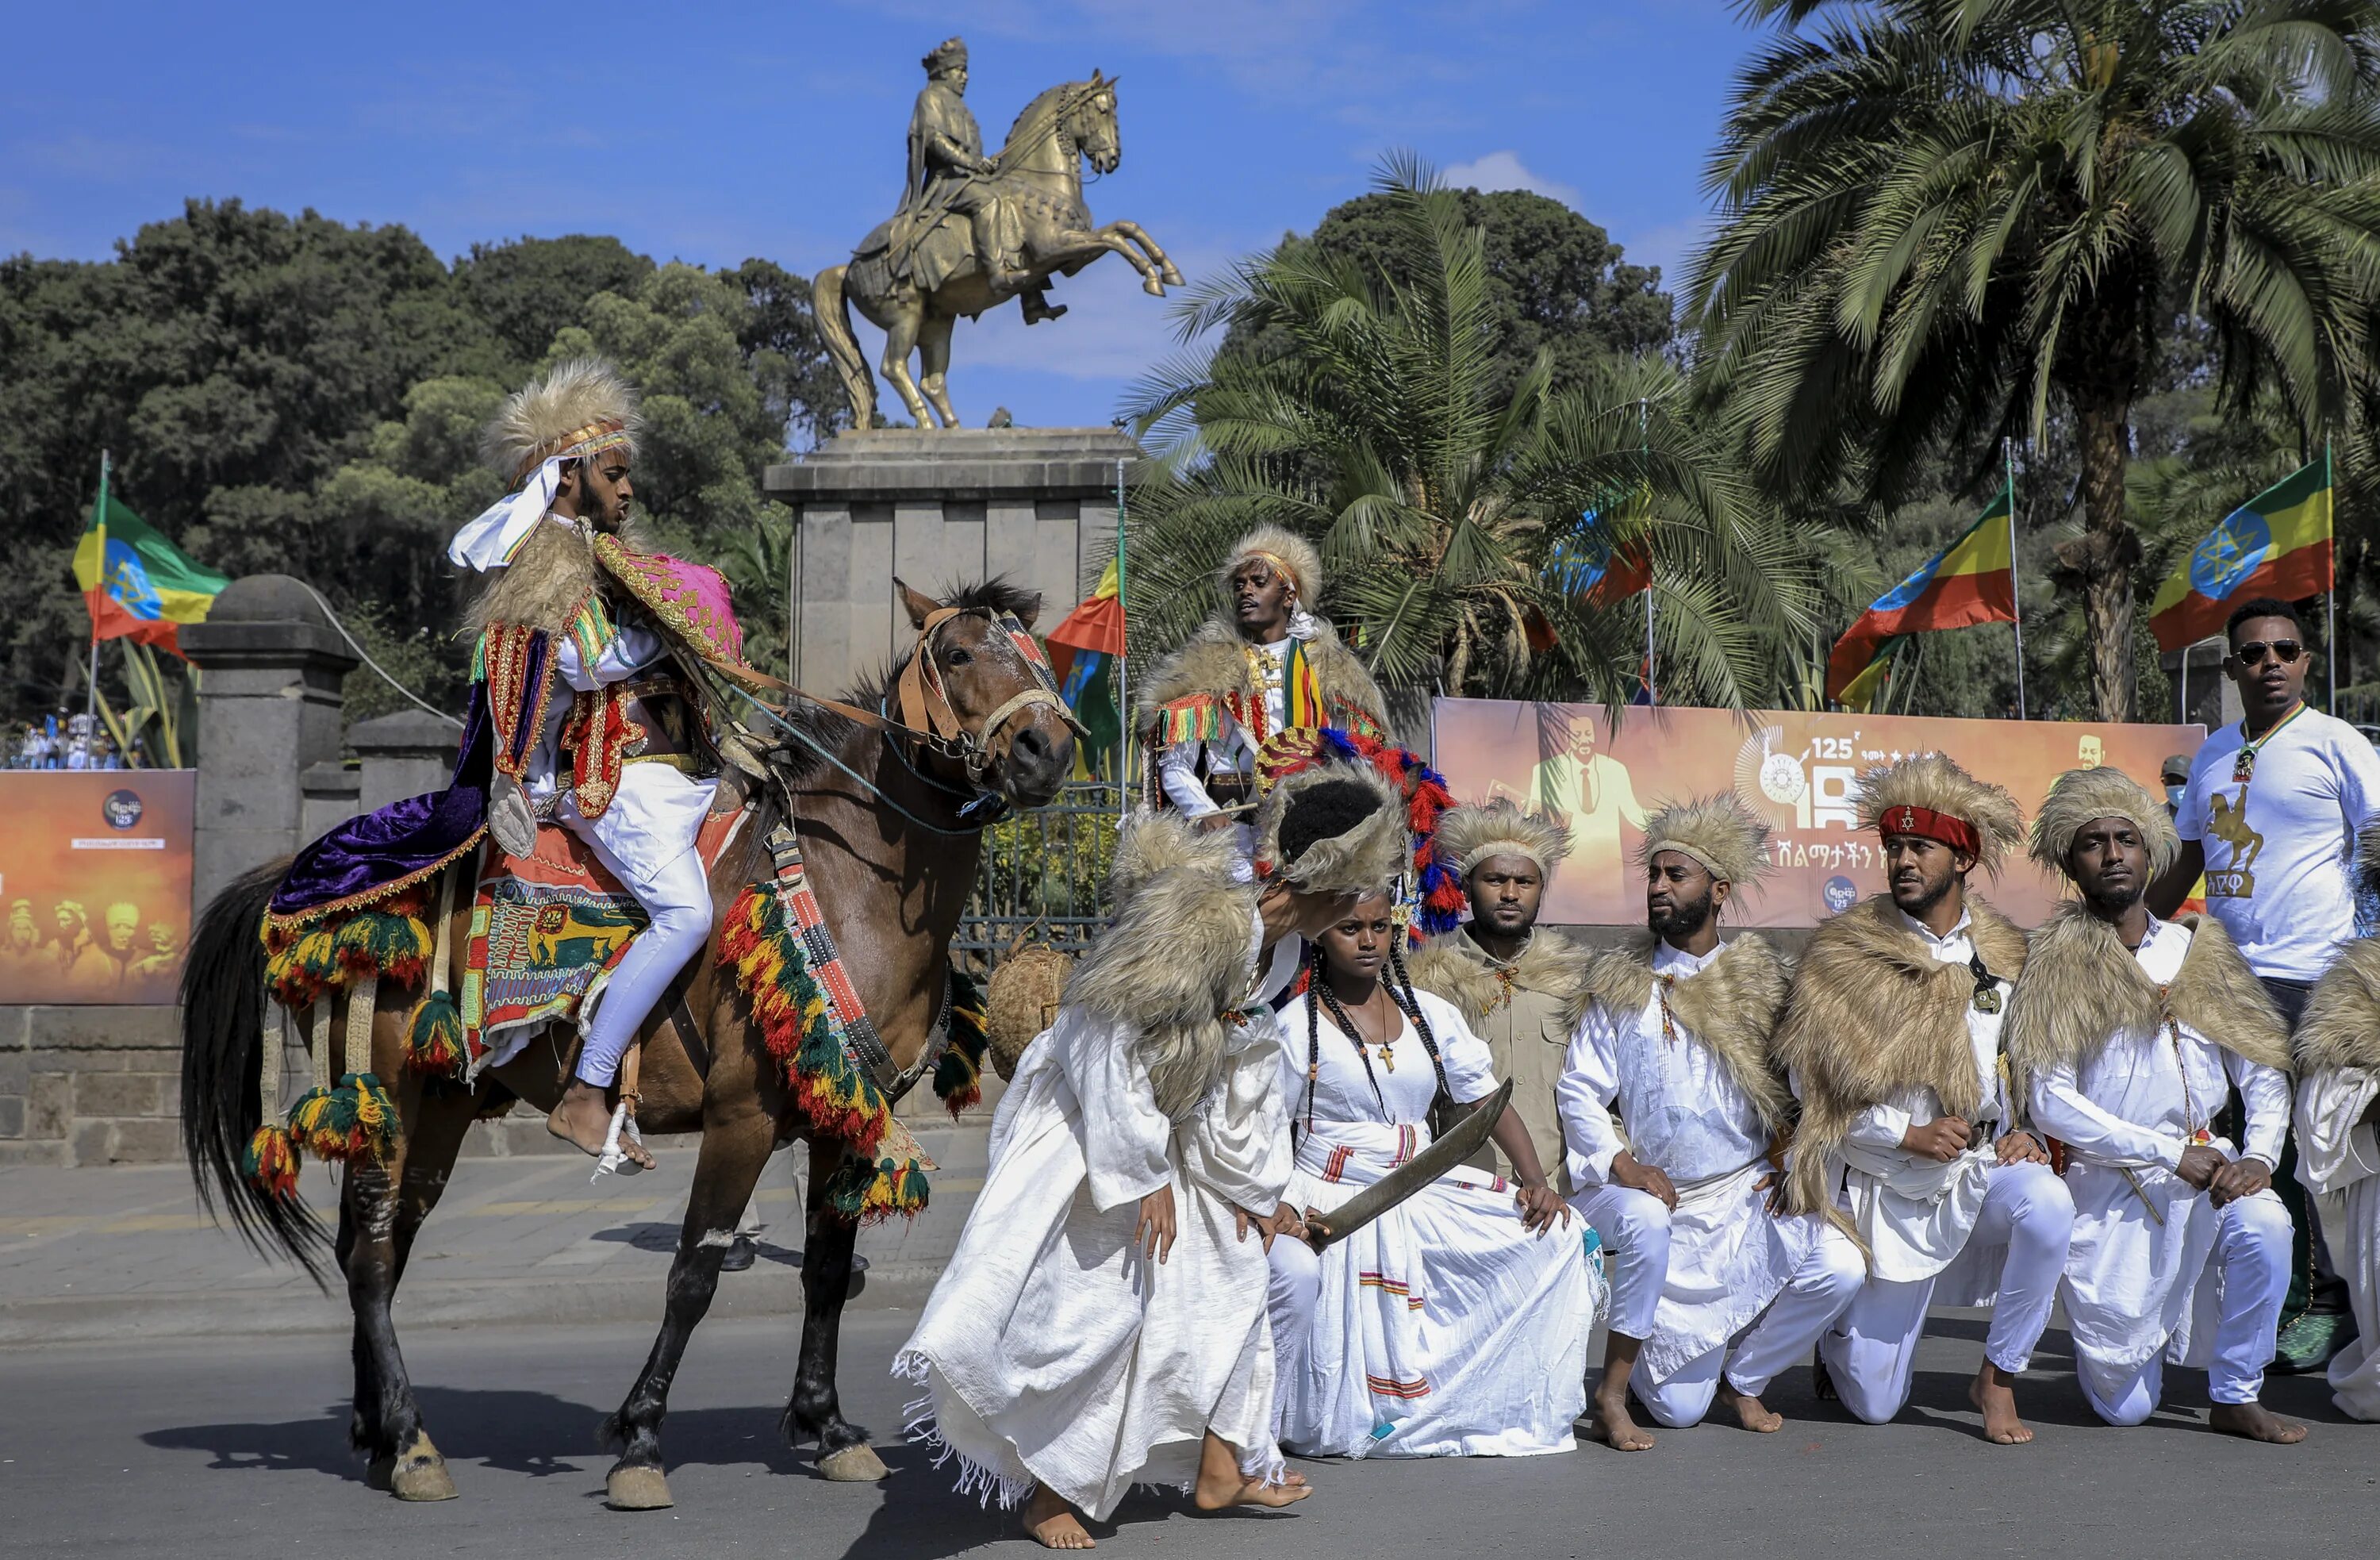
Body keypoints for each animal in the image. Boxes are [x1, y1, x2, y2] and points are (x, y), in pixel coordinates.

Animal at [181, 578, 1076, 1504]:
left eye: (1044, 653)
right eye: (961, 653)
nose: (1047, 748)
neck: (846, 886)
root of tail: (302, 880)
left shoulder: (846, 1118)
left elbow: (828, 1272)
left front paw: (827, 1427)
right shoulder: (743, 1119)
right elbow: (694, 1274)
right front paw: (641, 1437)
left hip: (442, 1102)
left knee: (382, 1245)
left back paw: (376, 1431)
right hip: (384, 1086)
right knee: (369, 1257)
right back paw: (413, 1442)